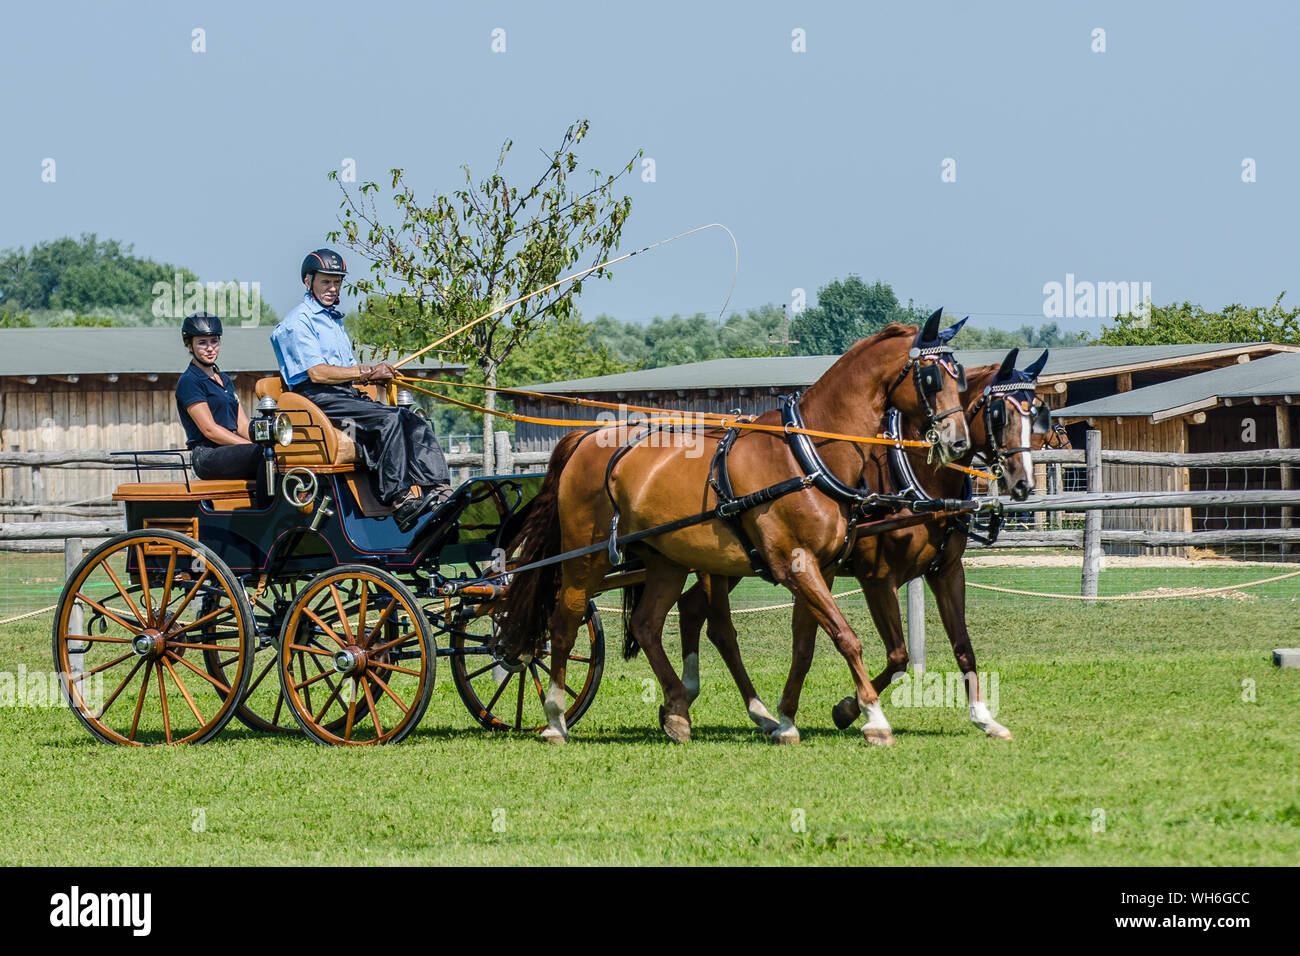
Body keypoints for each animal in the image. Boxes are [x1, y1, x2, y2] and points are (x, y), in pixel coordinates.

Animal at [491, 317, 972, 743]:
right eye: (932, 377)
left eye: (961, 377)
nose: (959, 441)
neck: (806, 455)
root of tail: (585, 439)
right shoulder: (800, 565)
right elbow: (846, 638)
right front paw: (873, 719)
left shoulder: (822, 568)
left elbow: (806, 645)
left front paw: (787, 721)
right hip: (585, 558)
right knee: (564, 623)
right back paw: (556, 718)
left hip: (666, 562)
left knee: (647, 624)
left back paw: (677, 710)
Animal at [670, 348, 1055, 743]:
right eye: (999, 414)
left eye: (1036, 414)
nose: (1023, 483)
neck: (911, 476)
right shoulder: (877, 579)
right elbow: (898, 655)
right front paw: (850, 709)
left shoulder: (947, 571)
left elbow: (963, 646)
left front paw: (984, 718)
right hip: (717, 562)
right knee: (718, 627)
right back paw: (732, 708)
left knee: (692, 609)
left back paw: (690, 698)